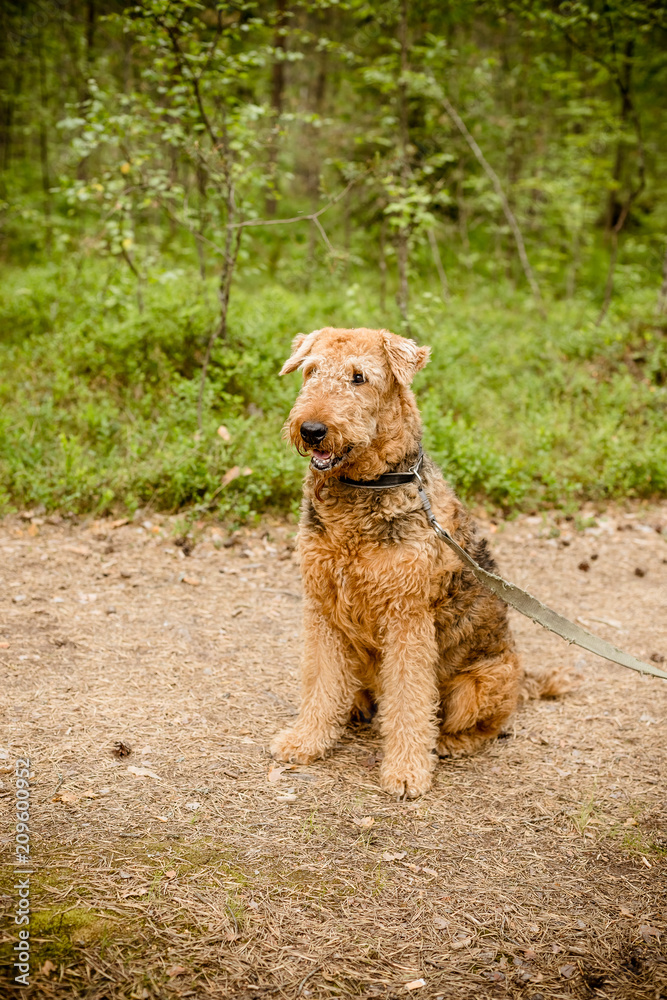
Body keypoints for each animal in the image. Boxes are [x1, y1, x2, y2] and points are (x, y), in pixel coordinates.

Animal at [268, 326, 556, 796]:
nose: (311, 430)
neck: (363, 488)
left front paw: (405, 772)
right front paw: (306, 741)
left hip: (480, 684)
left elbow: (409, 700)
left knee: (480, 725)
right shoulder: (323, 608)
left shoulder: (407, 617)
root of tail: (525, 679)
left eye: (359, 377)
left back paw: (448, 744)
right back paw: (355, 710)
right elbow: (320, 682)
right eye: (310, 371)